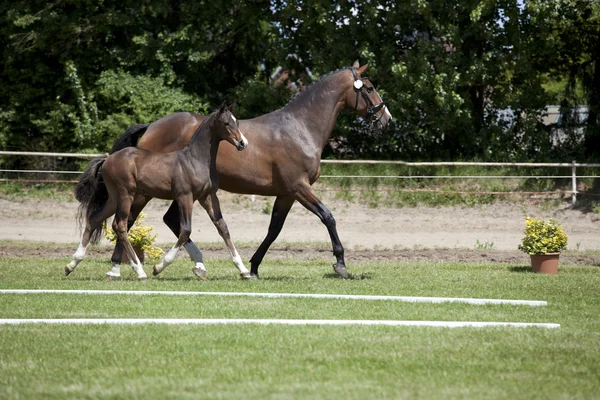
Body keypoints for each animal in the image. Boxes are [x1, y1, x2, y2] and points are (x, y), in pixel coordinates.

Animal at [67, 103, 250, 280]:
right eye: (226, 123)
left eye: (237, 122)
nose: (243, 143)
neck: (195, 160)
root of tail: (108, 158)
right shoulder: (185, 197)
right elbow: (185, 231)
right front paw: (159, 267)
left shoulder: (208, 197)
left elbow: (223, 227)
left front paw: (244, 270)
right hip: (126, 195)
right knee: (120, 225)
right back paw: (139, 271)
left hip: (114, 198)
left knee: (95, 218)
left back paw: (72, 264)